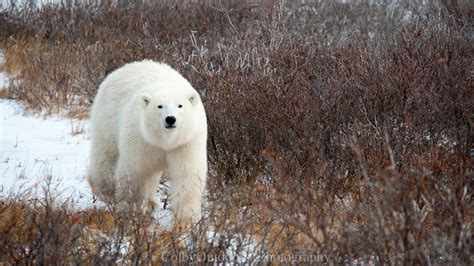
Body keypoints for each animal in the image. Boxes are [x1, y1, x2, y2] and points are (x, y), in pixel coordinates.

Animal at [87, 60, 207, 224]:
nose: (170, 119)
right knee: (105, 154)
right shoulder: (140, 138)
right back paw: (105, 191)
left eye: (180, 105)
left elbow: (187, 175)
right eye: (159, 106)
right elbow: (134, 171)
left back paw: (152, 202)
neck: (164, 141)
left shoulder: (186, 142)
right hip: (107, 117)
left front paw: (185, 222)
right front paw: (131, 210)